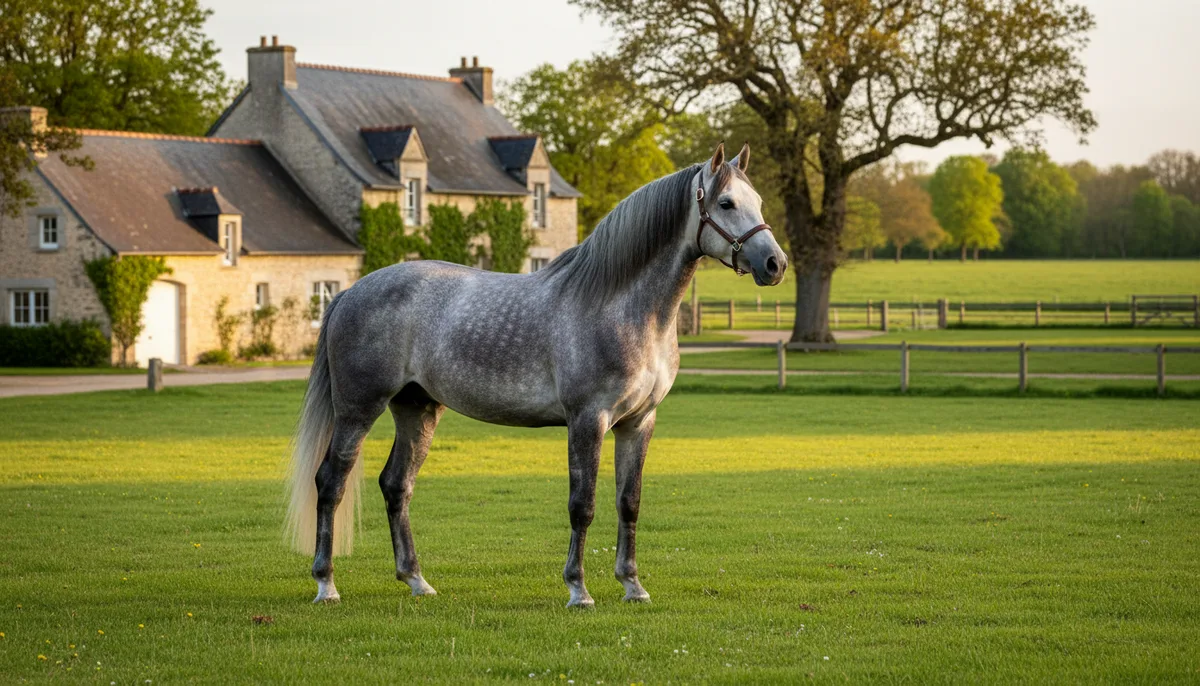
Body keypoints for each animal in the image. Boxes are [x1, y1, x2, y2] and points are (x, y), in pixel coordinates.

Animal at [286, 142, 788, 607]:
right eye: (726, 203)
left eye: (759, 201)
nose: (775, 264)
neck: (621, 307)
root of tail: (350, 290)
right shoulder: (588, 420)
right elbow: (582, 505)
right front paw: (578, 590)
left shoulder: (638, 422)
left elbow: (629, 503)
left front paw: (633, 585)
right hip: (358, 409)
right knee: (330, 482)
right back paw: (326, 584)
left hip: (417, 409)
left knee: (396, 485)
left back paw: (416, 581)